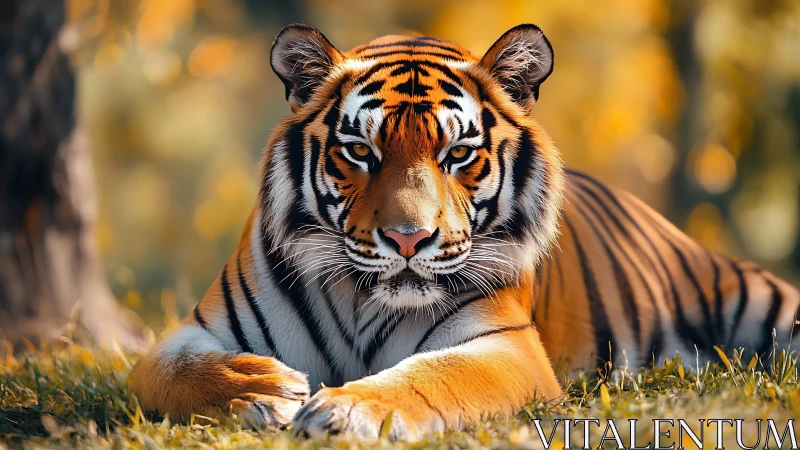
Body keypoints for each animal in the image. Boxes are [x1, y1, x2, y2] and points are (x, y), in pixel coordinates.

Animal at [131, 23, 800, 440]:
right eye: (360, 151)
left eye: (457, 154)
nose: (407, 239)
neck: (362, 302)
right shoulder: (189, 333)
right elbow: (175, 371)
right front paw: (261, 390)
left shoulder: (505, 346)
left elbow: (433, 375)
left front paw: (348, 408)